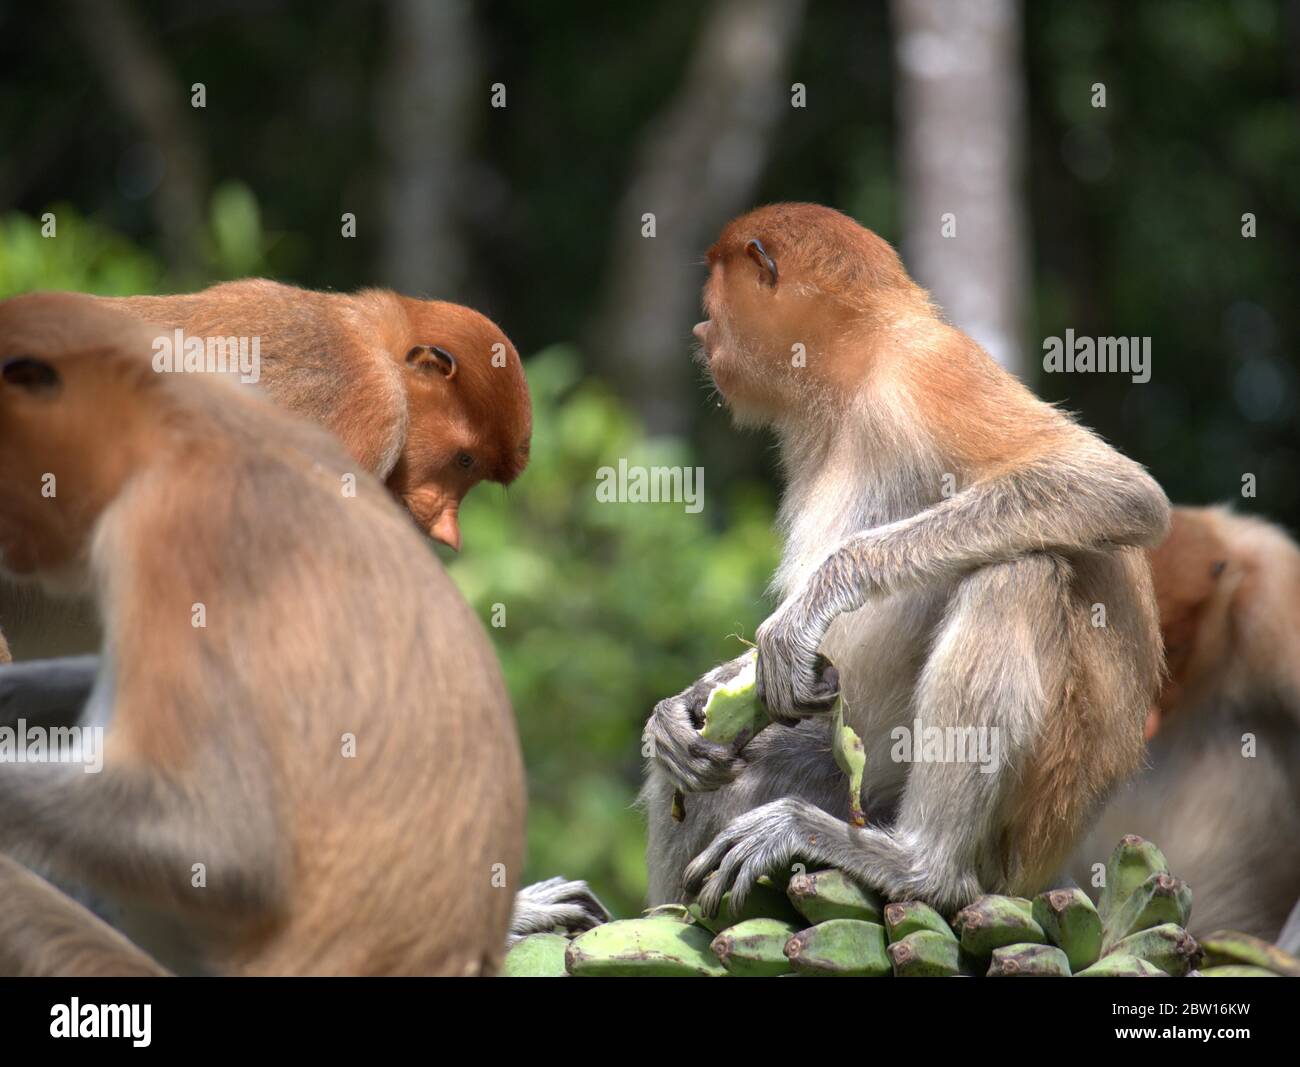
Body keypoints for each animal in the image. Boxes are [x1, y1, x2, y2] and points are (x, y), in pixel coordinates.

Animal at [641, 203, 1170, 916]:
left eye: (715, 291)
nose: (701, 328)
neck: (855, 365)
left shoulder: (924, 372)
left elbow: (1115, 487)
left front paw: (810, 607)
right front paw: (680, 713)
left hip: (1030, 821)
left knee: (1017, 574)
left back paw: (919, 866)